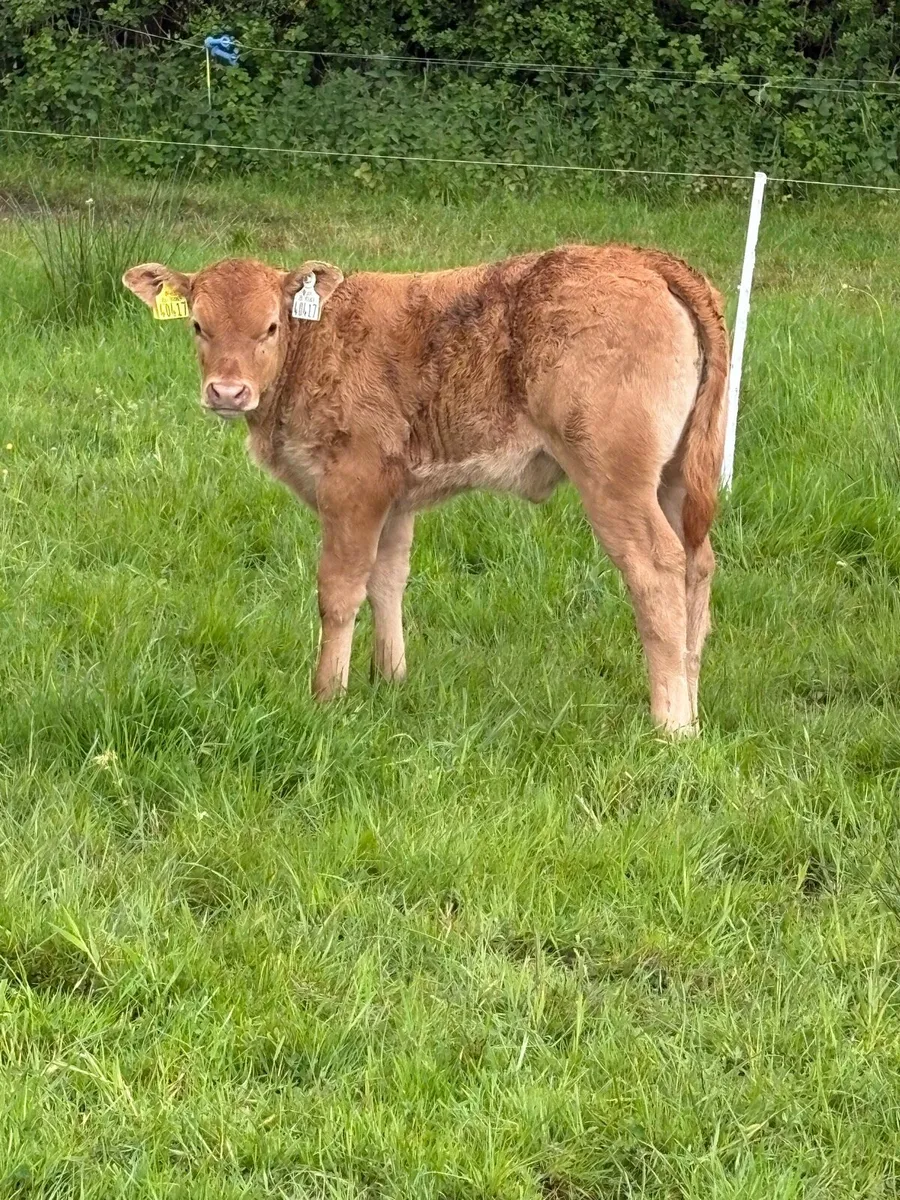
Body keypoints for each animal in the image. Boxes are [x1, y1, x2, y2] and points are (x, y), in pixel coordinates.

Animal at [123, 244, 728, 735]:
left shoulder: (354, 484)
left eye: (270, 327)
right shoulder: (396, 496)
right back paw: (694, 706)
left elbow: (339, 591)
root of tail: (643, 258)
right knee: (697, 564)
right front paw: (390, 678)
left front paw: (326, 696)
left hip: (613, 476)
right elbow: (388, 579)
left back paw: (671, 725)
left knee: (655, 567)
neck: (316, 345)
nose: (227, 392)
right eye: (197, 325)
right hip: (675, 476)